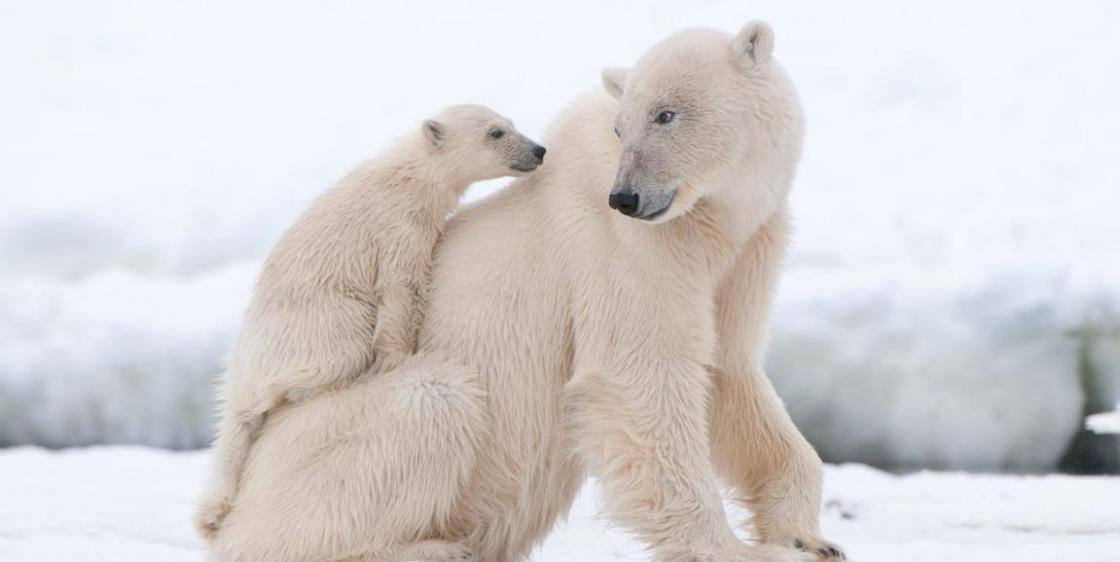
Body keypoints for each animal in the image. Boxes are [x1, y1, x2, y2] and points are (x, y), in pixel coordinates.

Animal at [210, 19, 842, 562]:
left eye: (666, 114)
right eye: (622, 126)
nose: (627, 197)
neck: (710, 219)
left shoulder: (744, 250)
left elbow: (730, 371)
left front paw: (809, 538)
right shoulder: (626, 250)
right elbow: (640, 375)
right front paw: (742, 549)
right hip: (326, 444)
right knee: (431, 401)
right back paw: (430, 546)